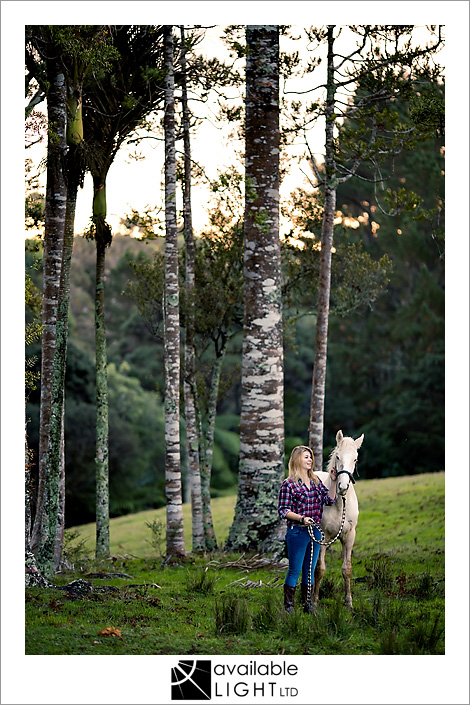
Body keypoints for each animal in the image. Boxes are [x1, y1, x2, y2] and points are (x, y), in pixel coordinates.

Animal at [314, 426, 366, 608]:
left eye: (355, 459)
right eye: (337, 456)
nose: (343, 487)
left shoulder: (349, 536)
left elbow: (346, 569)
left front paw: (348, 602)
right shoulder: (322, 537)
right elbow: (320, 569)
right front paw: (313, 602)